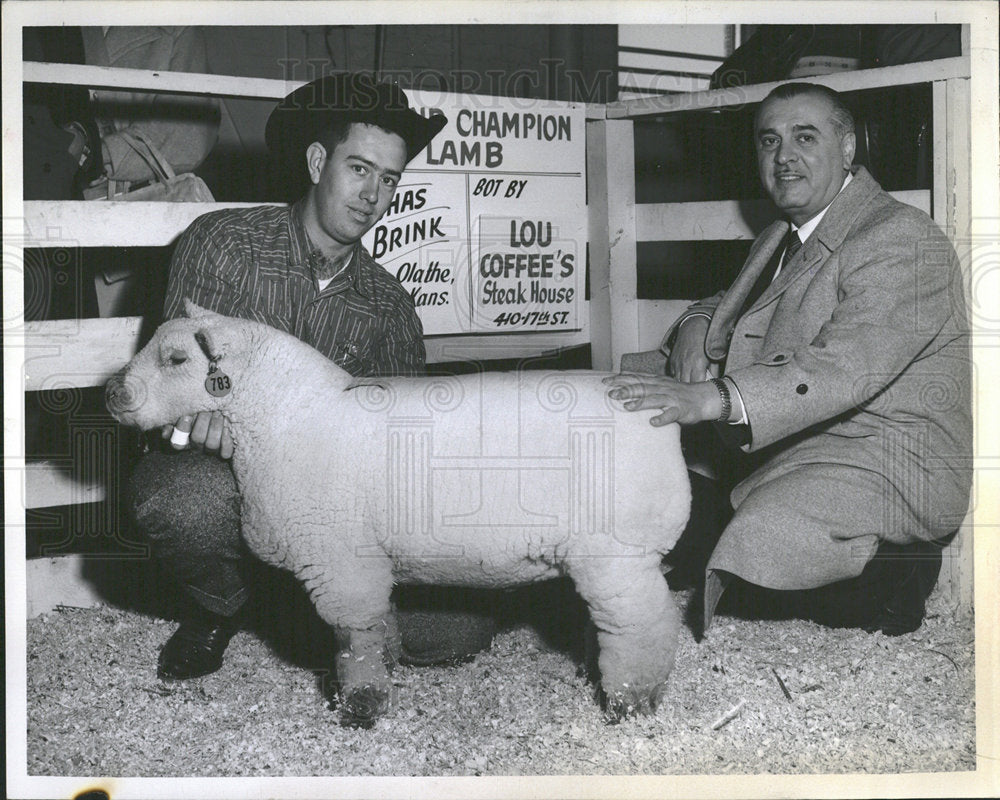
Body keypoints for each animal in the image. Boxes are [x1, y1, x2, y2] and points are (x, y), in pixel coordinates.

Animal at [106, 300, 691, 727]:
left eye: (177, 359)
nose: (112, 393)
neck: (284, 420)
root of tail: (657, 414)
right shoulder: (366, 559)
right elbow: (378, 626)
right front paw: (382, 671)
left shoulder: (338, 559)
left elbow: (353, 638)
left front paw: (360, 705)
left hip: (616, 552)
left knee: (645, 624)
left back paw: (630, 702)